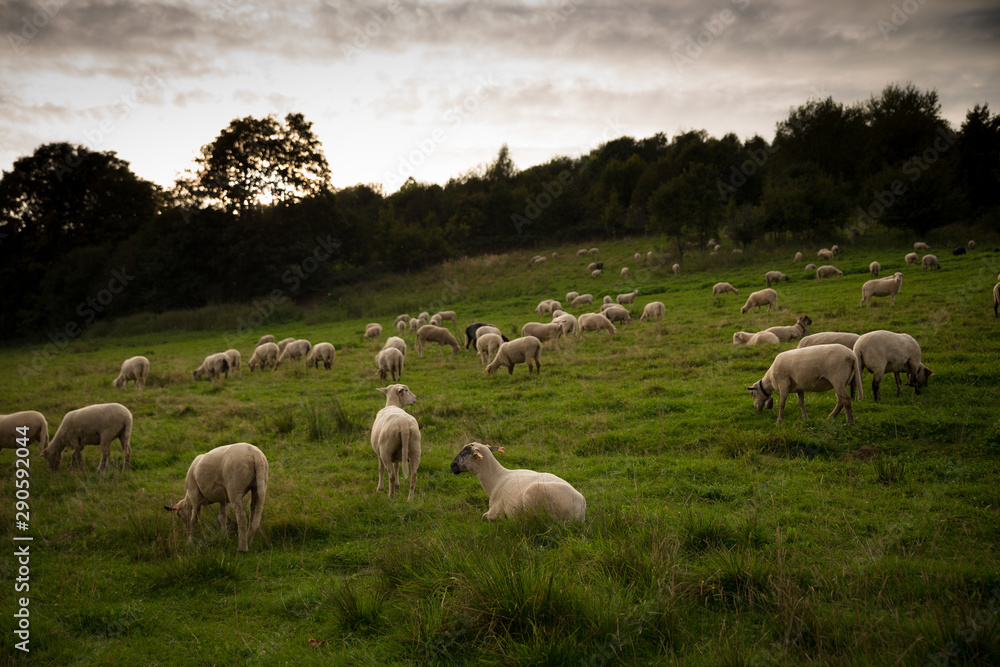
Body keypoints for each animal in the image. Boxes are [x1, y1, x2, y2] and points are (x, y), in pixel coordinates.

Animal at [450, 442, 586, 522]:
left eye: (464, 452)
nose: (452, 466)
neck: (495, 479)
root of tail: (580, 507)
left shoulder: (495, 510)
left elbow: (484, 517)